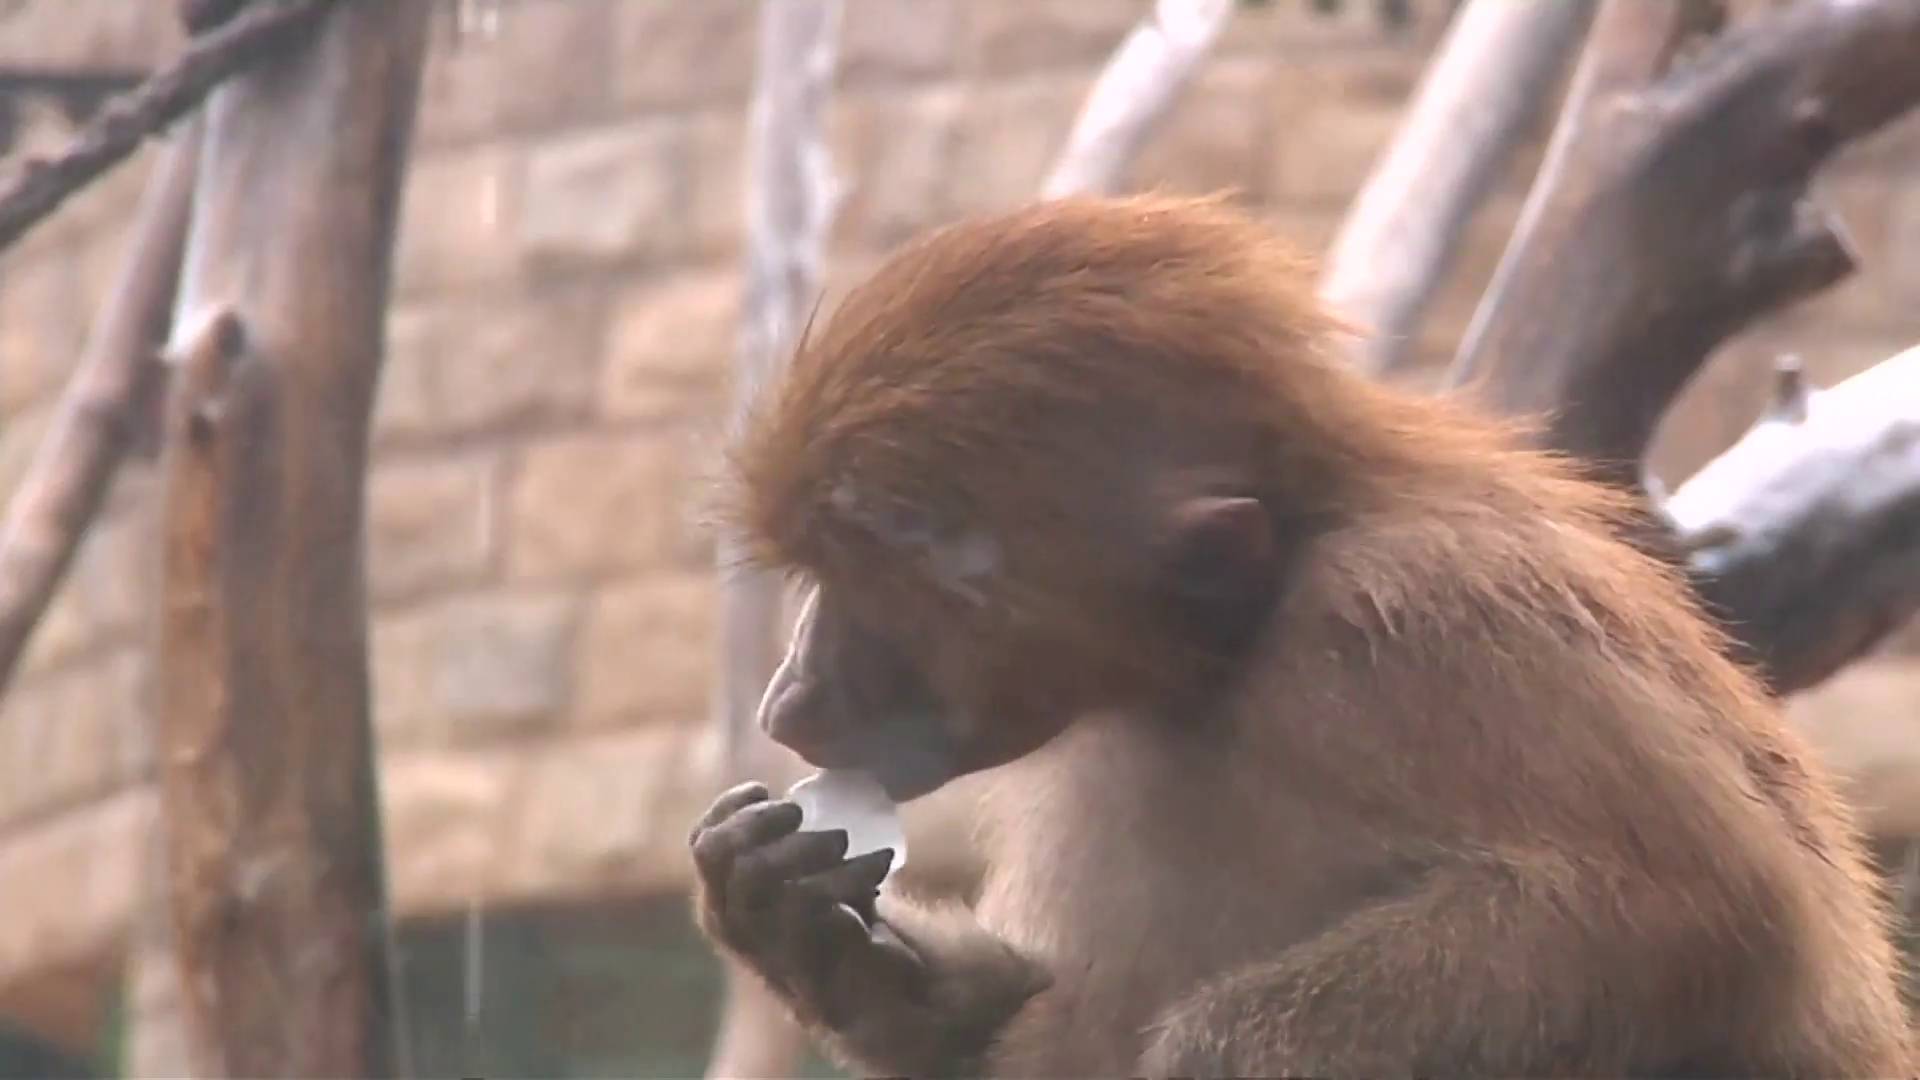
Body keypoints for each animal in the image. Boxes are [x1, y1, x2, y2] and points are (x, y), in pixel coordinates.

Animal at [683, 195, 1912, 1076]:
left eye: (878, 588)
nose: (787, 702)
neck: (1226, 660)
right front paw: (801, 930)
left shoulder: (1414, 621)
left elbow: (1706, 918)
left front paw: (1219, 1050)